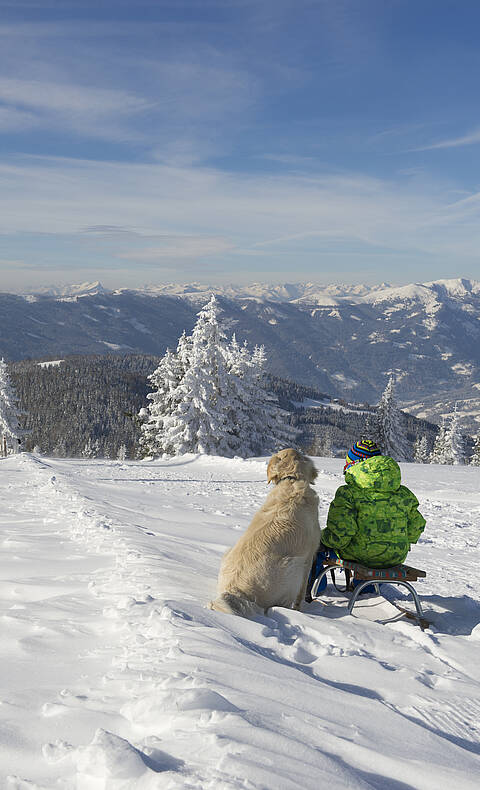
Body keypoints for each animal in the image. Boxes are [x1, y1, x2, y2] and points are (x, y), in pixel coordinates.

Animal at [208, 452, 320, 620]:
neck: (291, 479)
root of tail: (234, 591)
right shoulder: (309, 556)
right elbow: (302, 593)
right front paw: (300, 609)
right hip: (294, 565)